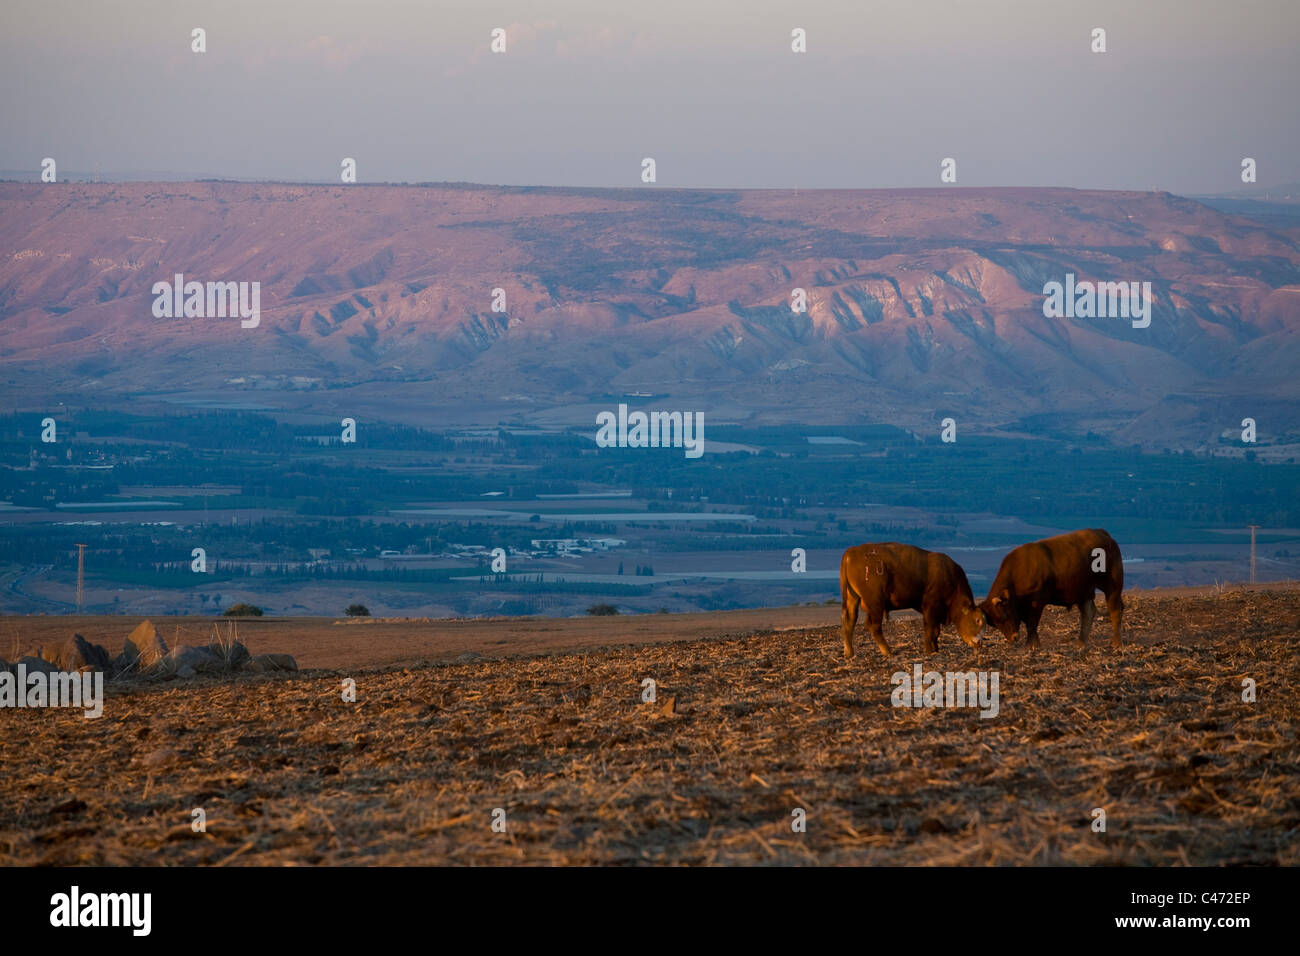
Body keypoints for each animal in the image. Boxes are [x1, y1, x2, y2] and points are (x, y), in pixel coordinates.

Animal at [837, 546, 977, 658]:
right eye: (976, 620)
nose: (977, 642)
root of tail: (849, 554)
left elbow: (936, 630)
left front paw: (935, 649)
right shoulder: (931, 607)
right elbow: (930, 629)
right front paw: (929, 650)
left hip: (852, 598)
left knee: (849, 622)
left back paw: (849, 653)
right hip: (875, 604)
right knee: (873, 626)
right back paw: (887, 651)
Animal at [977, 528, 1123, 655]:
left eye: (1004, 615)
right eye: (995, 624)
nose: (1013, 638)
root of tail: (1101, 533)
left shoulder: (1036, 602)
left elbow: (1032, 624)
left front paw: (1030, 646)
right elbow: (1030, 625)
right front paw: (1034, 646)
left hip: (1112, 586)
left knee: (1115, 611)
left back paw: (1116, 643)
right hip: (1083, 592)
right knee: (1088, 613)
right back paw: (1080, 644)